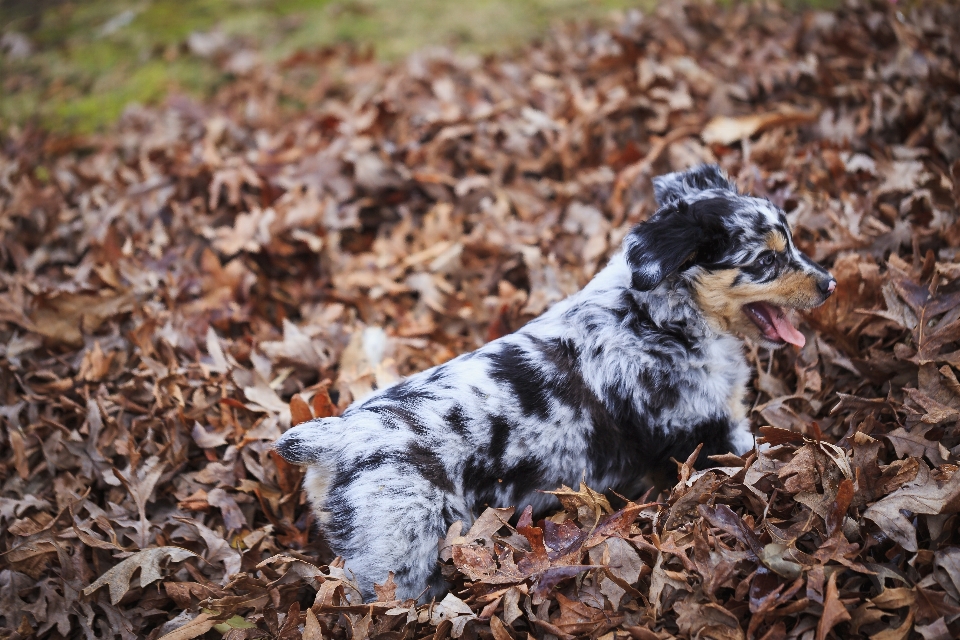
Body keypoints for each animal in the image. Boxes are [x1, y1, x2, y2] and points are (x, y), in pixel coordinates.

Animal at [274, 164, 836, 600]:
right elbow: (769, 454)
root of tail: (336, 438)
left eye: (791, 242)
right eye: (765, 261)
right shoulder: (713, 435)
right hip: (401, 560)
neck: (655, 318)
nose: (831, 283)